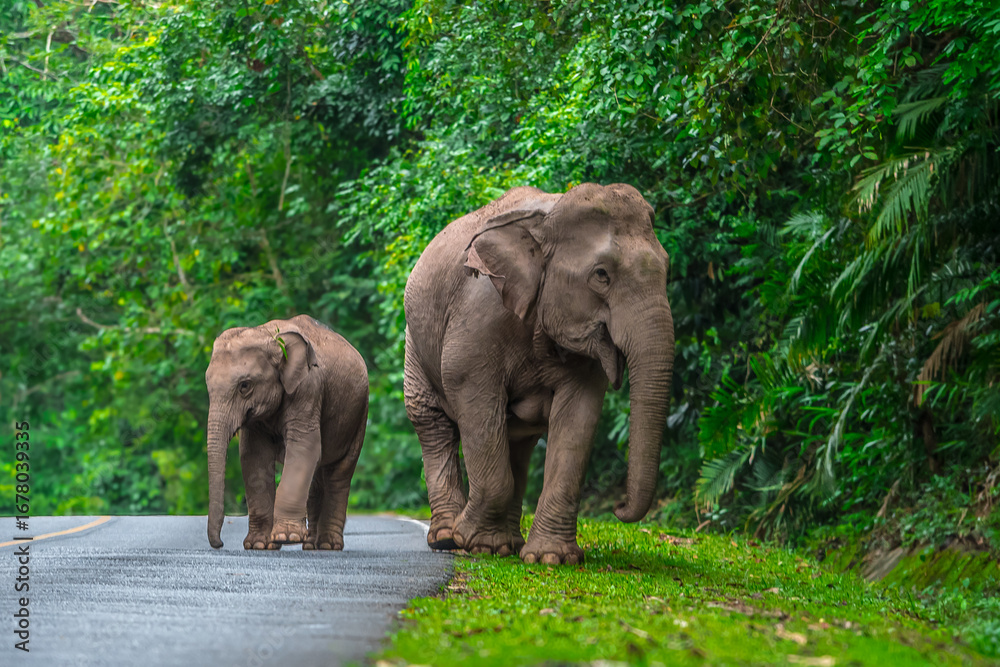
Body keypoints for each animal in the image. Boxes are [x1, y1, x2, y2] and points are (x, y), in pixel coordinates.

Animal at [205, 314, 369, 551]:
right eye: (207, 385)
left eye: (245, 385)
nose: (220, 544)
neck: (269, 336)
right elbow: (254, 456)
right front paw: (259, 544)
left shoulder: (309, 387)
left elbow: (304, 448)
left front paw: (285, 538)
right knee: (317, 478)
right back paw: (310, 544)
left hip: (359, 414)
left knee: (339, 473)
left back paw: (328, 545)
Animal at [403, 182, 675, 564]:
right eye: (601, 275)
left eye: (667, 267)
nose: (618, 508)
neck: (548, 219)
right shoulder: (478, 317)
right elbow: (471, 396)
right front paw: (472, 540)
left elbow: (578, 416)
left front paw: (550, 558)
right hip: (414, 343)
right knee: (432, 422)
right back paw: (447, 538)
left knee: (517, 441)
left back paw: (507, 544)